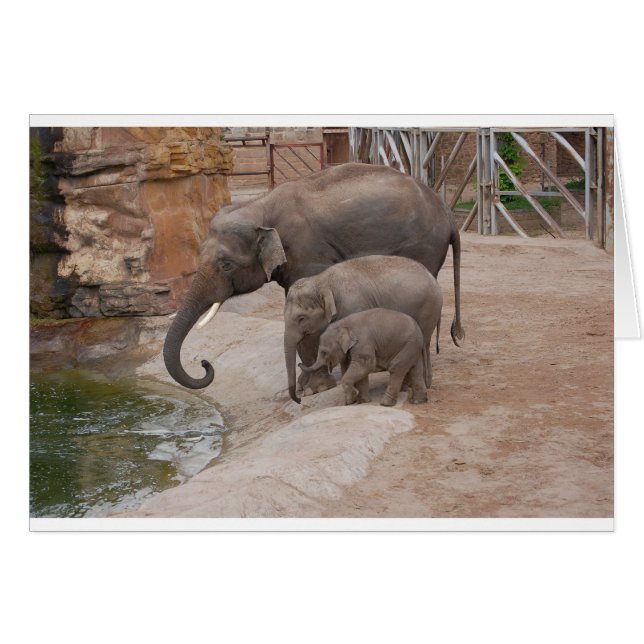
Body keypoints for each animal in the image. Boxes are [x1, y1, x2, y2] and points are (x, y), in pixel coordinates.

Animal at [300, 308, 429, 407]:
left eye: (324, 352)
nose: (298, 364)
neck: (343, 324)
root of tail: (420, 332)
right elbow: (359, 371)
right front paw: (362, 401)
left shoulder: (362, 343)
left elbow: (366, 366)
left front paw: (351, 398)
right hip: (412, 347)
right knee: (416, 370)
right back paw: (418, 401)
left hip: (409, 345)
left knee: (396, 367)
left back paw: (385, 403)